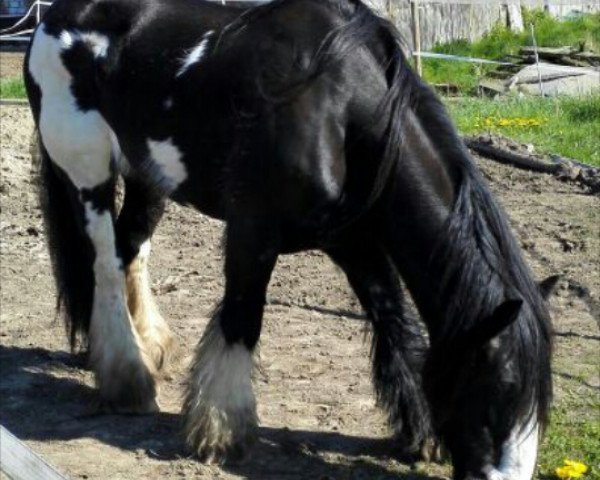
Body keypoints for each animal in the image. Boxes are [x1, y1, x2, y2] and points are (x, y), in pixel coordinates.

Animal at [24, 0, 556, 476]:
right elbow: (242, 319)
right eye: (496, 391)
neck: (342, 111)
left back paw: (150, 348)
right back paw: (128, 378)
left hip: (147, 177)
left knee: (130, 248)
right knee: (106, 262)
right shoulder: (252, 232)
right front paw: (221, 432)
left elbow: (395, 323)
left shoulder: (355, 242)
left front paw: (420, 432)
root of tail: (55, 17)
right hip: (87, 174)